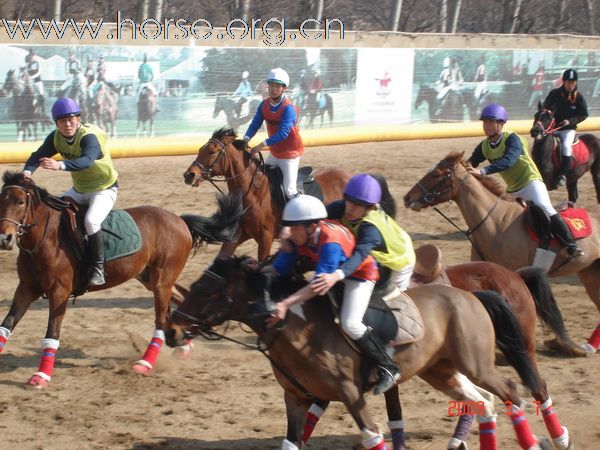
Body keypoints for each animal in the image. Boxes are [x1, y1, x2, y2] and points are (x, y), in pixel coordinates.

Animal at [0, 171, 244, 388]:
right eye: (1, 200)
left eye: (20, 202)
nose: (5, 238)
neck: (43, 241)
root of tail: (179, 220)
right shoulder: (26, 288)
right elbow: (7, 324)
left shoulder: (59, 293)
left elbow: (52, 334)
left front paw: (40, 377)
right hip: (151, 279)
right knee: (179, 301)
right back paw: (183, 345)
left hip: (162, 281)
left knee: (161, 320)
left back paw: (145, 363)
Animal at [166, 256, 552, 450]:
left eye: (206, 289)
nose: (172, 331)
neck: (294, 326)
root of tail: (471, 295)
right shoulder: (296, 399)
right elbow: (292, 441)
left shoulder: (352, 395)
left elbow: (373, 435)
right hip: (441, 372)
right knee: (484, 403)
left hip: (476, 364)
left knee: (512, 393)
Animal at [183, 126, 352, 260]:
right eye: (200, 150)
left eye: (212, 152)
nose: (189, 175)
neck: (253, 193)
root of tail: (347, 176)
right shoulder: (238, 235)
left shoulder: (265, 238)